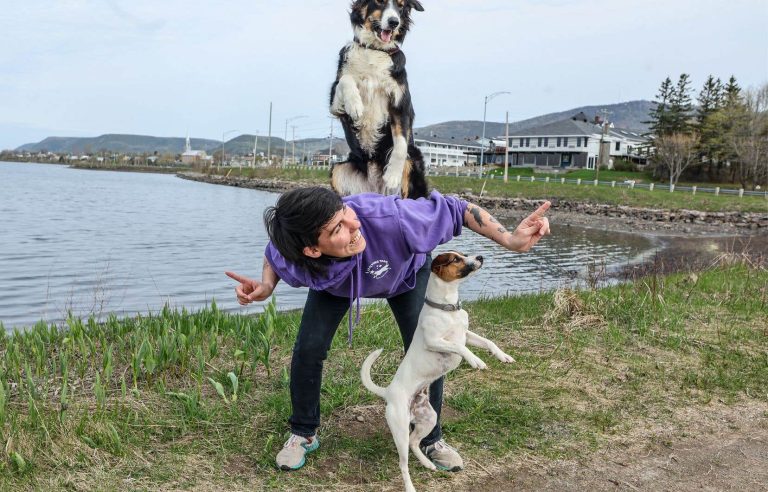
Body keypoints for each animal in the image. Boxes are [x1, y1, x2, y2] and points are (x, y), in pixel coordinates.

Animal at [362, 252, 516, 492]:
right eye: (456, 259)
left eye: (464, 254)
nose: (480, 256)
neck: (448, 308)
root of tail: (387, 391)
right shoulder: (435, 341)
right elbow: (461, 348)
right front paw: (475, 360)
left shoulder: (466, 334)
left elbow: (487, 341)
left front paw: (502, 356)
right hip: (400, 430)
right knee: (403, 463)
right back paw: (410, 486)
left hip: (429, 418)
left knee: (415, 443)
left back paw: (427, 463)